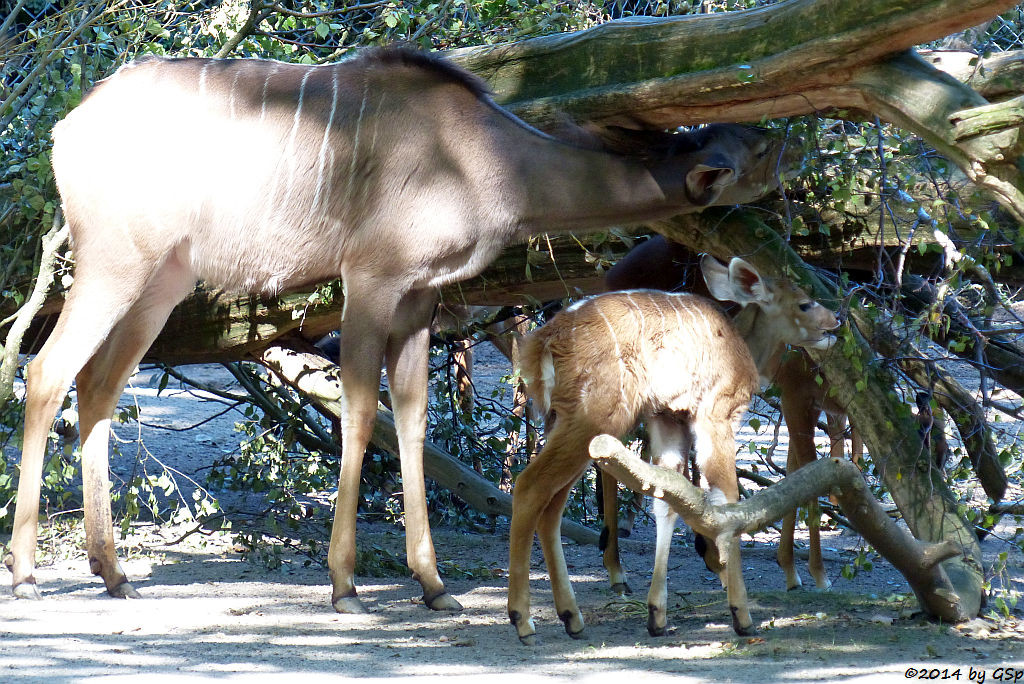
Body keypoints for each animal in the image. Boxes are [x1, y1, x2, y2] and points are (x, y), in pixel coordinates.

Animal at [8, 49, 786, 614]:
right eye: (754, 154)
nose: (781, 141)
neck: (487, 159)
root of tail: (64, 130)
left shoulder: (419, 298)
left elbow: (411, 417)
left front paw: (434, 585)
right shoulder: (372, 279)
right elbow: (359, 409)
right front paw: (345, 584)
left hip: (164, 280)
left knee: (98, 383)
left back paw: (112, 572)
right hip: (115, 262)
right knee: (47, 371)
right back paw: (25, 574)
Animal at [512, 253, 839, 643]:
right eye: (804, 303)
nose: (835, 323)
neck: (741, 346)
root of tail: (541, 343)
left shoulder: (667, 419)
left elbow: (667, 499)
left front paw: (657, 615)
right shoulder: (715, 416)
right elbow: (726, 499)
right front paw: (741, 615)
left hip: (568, 426)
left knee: (551, 507)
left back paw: (571, 617)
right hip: (592, 421)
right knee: (528, 486)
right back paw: (522, 619)